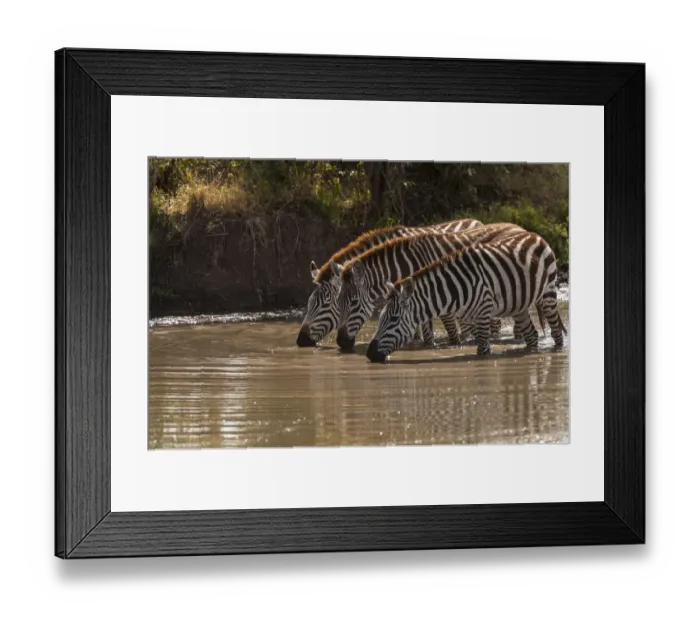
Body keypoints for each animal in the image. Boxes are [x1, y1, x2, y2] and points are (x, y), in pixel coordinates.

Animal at [333, 223, 526, 351]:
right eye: (338, 302)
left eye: (354, 303)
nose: (341, 343)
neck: (409, 265)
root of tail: (518, 226)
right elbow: (425, 330)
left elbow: (449, 330)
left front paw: (454, 345)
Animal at [366, 231, 567, 363]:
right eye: (380, 318)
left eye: (393, 319)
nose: (369, 354)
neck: (453, 289)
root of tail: (535, 235)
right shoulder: (470, 318)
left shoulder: (484, 312)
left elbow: (482, 350)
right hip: (519, 305)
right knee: (532, 335)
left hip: (548, 293)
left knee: (556, 332)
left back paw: (557, 351)